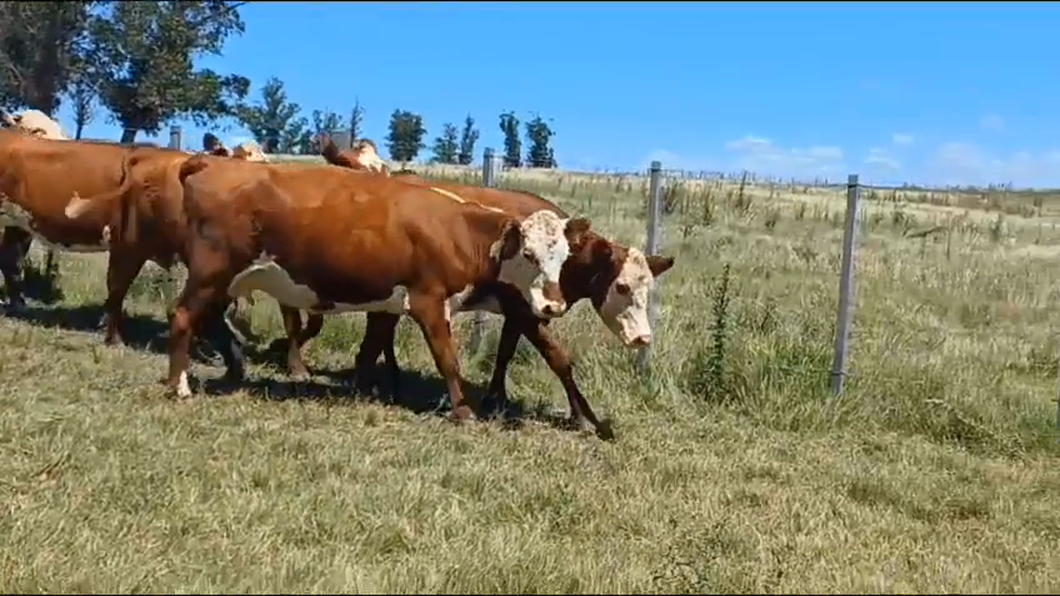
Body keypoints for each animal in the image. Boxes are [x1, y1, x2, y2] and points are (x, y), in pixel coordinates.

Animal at [163, 155, 597, 419]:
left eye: (563, 256)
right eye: (529, 253)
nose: (554, 307)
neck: (456, 229)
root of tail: (210, 162)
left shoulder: (394, 303)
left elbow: (371, 350)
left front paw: (363, 389)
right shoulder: (428, 300)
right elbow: (448, 360)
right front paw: (462, 412)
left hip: (223, 280)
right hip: (210, 273)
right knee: (181, 316)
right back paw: (178, 387)